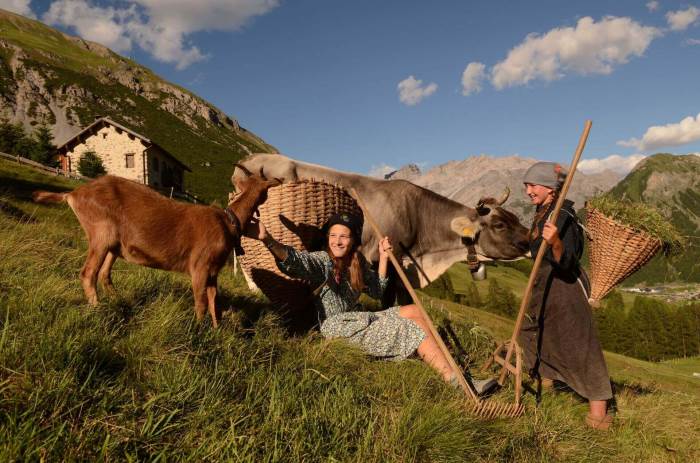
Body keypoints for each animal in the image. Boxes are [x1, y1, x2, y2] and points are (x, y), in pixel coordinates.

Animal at [32, 169, 278, 328]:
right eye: (266, 192)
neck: (228, 222)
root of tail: (73, 194)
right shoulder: (199, 265)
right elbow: (200, 302)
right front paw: (200, 331)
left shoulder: (213, 271)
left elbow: (213, 300)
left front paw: (217, 330)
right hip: (100, 233)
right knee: (88, 273)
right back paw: (97, 308)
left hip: (113, 244)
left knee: (104, 274)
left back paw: (118, 302)